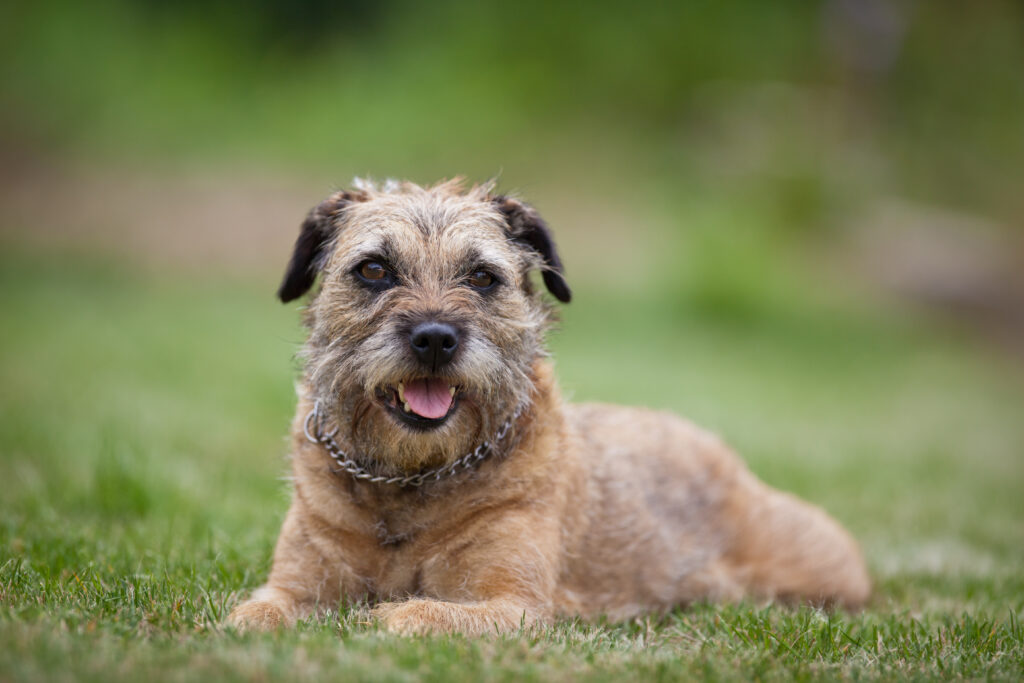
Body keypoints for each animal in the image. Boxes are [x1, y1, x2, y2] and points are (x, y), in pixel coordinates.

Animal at [228, 180, 868, 634]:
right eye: (374, 269)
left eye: (482, 277)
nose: (434, 338)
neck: (409, 480)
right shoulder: (293, 585)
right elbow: (253, 615)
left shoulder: (513, 606)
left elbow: (414, 614)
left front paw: (378, 616)